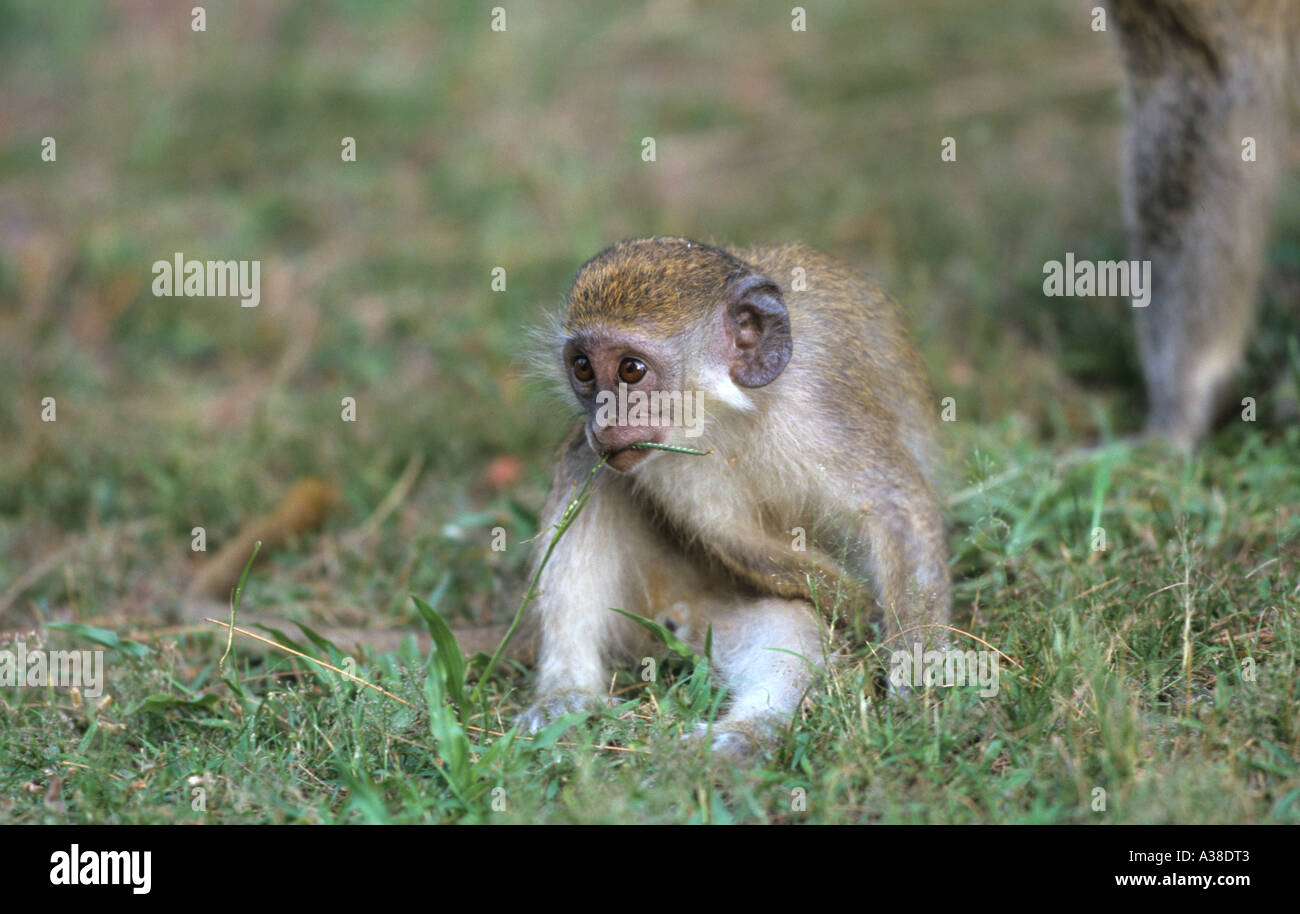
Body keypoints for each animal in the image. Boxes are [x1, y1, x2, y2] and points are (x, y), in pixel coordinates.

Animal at [520, 237, 956, 759]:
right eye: (583, 368)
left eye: (631, 369)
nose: (602, 422)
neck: (732, 411)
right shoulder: (666, 462)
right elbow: (731, 536)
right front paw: (861, 612)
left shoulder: (824, 406)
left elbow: (896, 511)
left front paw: (915, 670)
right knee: (585, 462)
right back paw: (570, 693)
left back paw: (748, 732)